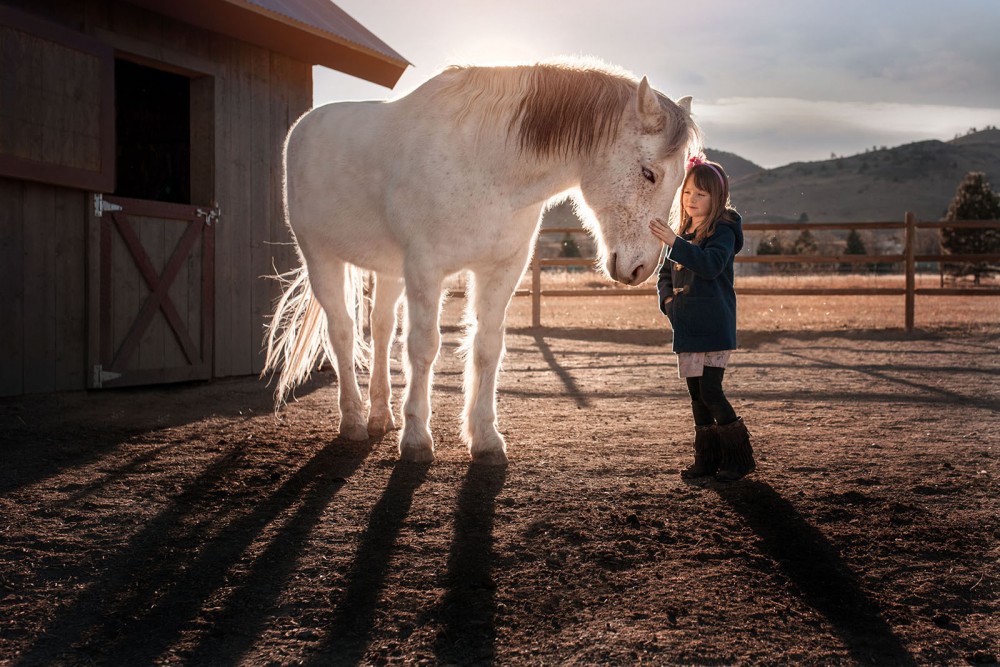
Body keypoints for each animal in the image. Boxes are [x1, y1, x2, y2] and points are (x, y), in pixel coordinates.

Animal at [266, 58, 704, 464]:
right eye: (648, 173)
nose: (640, 268)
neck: (486, 162)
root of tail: (303, 127)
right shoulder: (425, 269)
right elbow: (423, 347)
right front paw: (416, 439)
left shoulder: (501, 270)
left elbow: (487, 346)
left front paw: (486, 438)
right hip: (320, 257)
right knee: (342, 331)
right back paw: (354, 421)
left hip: (387, 270)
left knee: (381, 329)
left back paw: (380, 417)